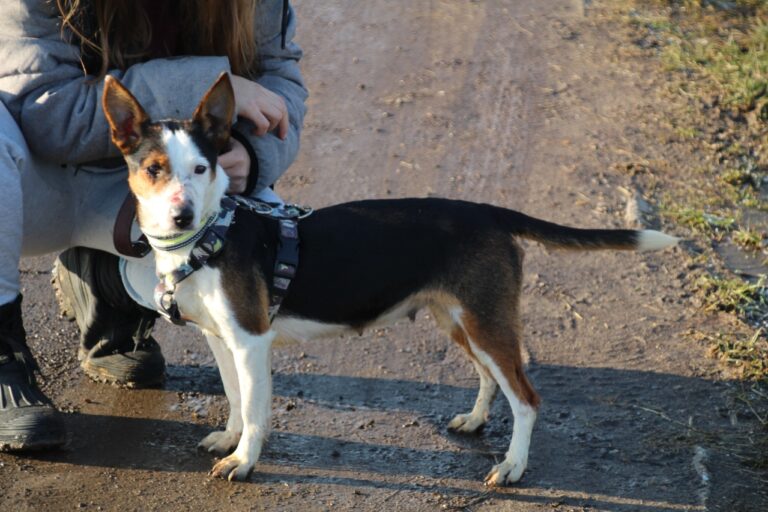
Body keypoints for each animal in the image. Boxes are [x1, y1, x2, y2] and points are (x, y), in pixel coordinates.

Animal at [100, 73, 680, 484]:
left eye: (201, 168)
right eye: (154, 169)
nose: (181, 216)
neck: (208, 238)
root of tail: (489, 213)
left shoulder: (251, 341)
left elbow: (258, 409)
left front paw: (245, 461)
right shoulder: (222, 340)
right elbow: (237, 399)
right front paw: (229, 439)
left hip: (486, 321)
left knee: (526, 398)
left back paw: (513, 466)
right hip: (462, 321)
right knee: (491, 377)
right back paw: (474, 421)